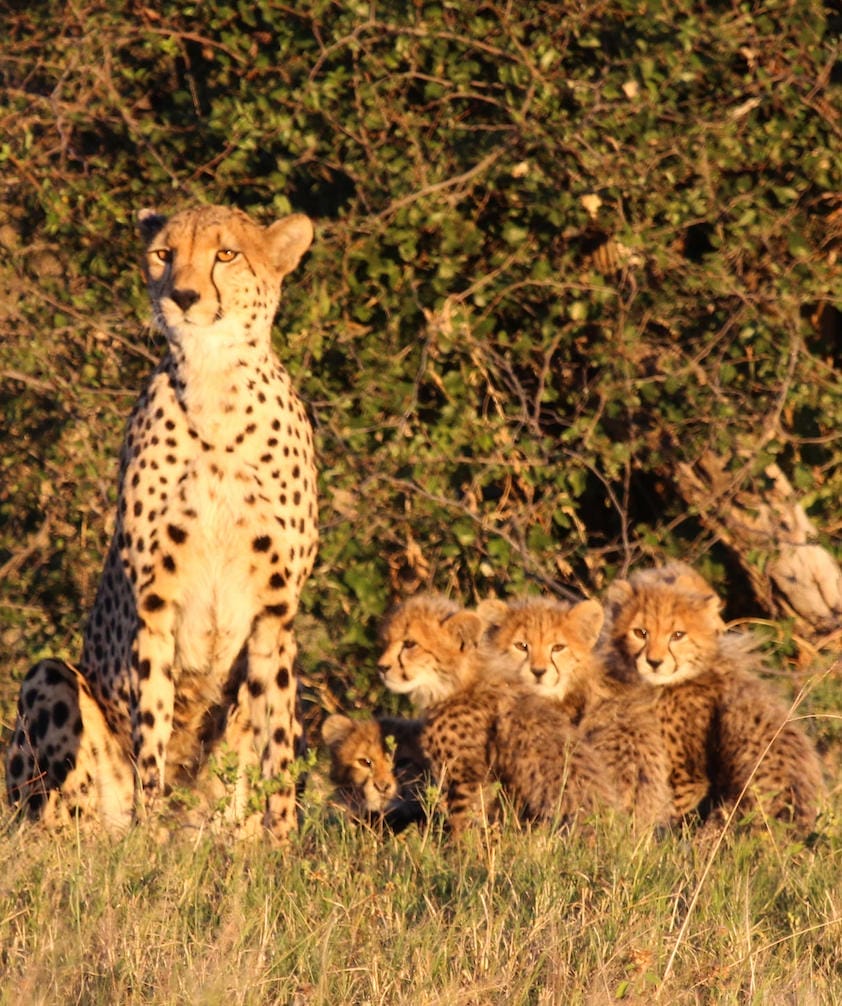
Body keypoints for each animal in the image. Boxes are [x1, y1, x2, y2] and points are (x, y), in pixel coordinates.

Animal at [6, 205, 319, 839]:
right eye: (163, 254)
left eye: (226, 254)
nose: (182, 295)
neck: (215, 387)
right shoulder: (155, 598)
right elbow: (152, 723)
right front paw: (149, 838)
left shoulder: (276, 609)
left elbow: (278, 740)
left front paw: (282, 839)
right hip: (51, 682)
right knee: (57, 820)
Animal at [378, 594, 621, 834]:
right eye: (386, 641)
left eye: (410, 644)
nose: (381, 667)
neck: (456, 683)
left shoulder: (467, 778)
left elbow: (463, 825)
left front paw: (459, 845)